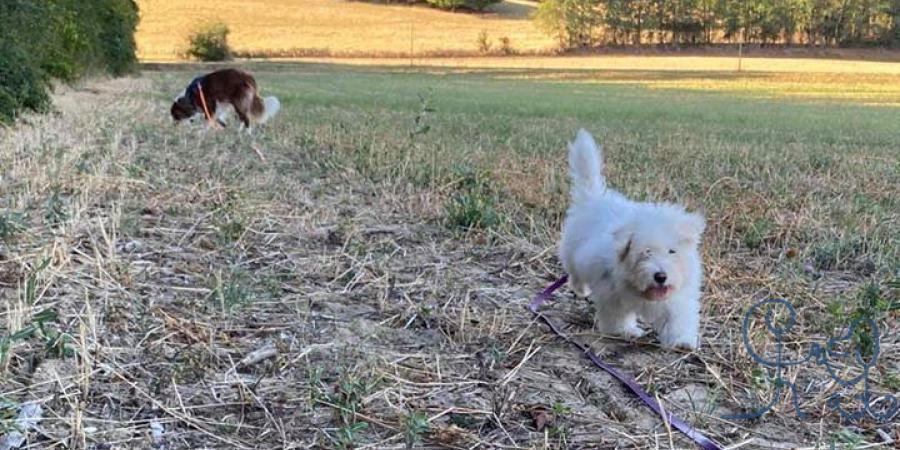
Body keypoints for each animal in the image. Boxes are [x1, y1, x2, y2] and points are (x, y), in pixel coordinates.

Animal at [560, 128, 708, 350]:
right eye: (645, 252)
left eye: (672, 251)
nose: (661, 276)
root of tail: (593, 198)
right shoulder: (611, 294)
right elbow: (617, 315)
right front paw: (624, 331)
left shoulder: (677, 298)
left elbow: (677, 318)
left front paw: (682, 340)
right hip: (572, 250)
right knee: (574, 271)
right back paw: (580, 288)